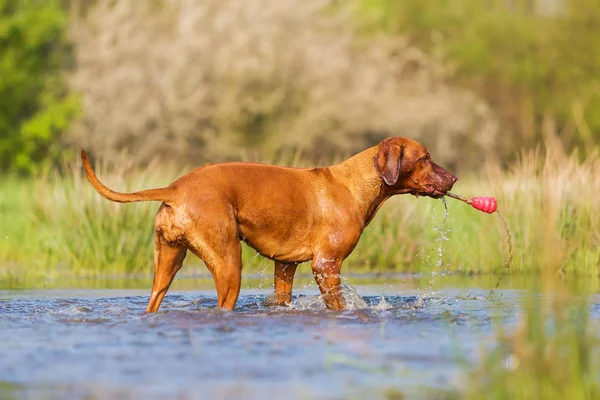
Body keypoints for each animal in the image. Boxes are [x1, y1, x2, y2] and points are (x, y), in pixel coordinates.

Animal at [79, 136, 454, 310]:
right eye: (425, 158)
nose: (454, 178)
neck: (354, 184)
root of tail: (175, 187)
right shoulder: (327, 264)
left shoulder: (285, 265)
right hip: (228, 263)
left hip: (167, 262)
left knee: (154, 299)